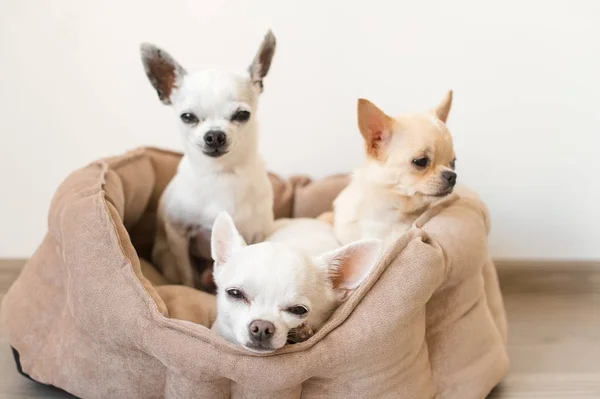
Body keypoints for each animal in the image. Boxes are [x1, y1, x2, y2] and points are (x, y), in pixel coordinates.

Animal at [142, 31, 278, 290]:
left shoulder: (259, 233)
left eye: (242, 115)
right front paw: (191, 285)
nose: (214, 135)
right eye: (187, 117)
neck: (221, 174)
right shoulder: (178, 235)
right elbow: (187, 276)